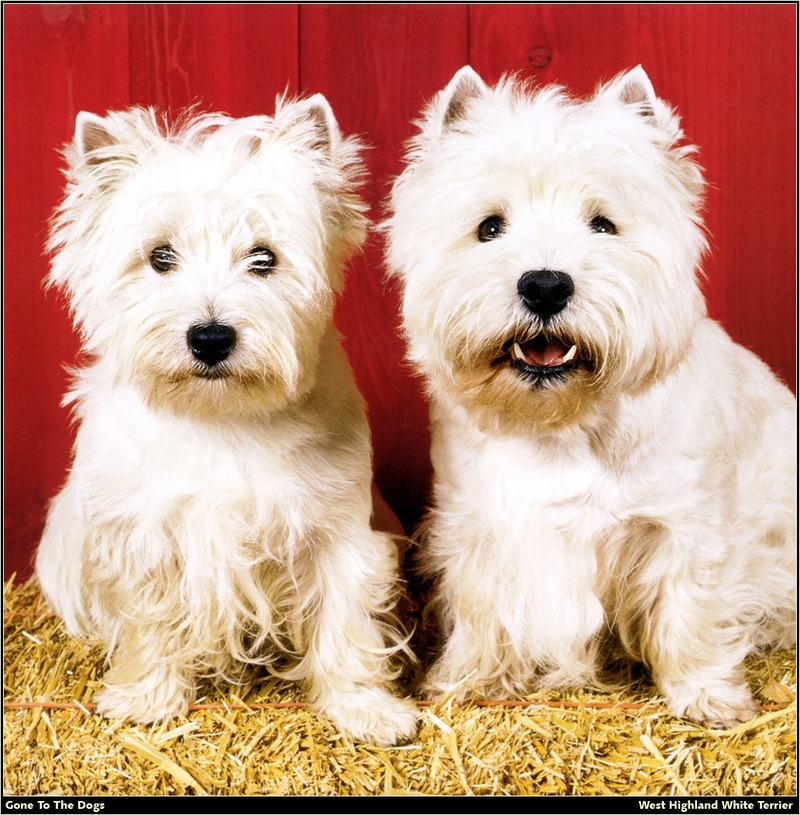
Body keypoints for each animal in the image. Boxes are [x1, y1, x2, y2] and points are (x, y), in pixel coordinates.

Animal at [37, 97, 422, 744]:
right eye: (159, 257)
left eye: (264, 258)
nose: (210, 338)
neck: (221, 416)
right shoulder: (146, 537)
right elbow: (153, 621)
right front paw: (147, 698)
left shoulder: (339, 532)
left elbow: (347, 622)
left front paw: (365, 707)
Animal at [386, 63, 792, 728]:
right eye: (489, 227)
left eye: (603, 224)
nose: (545, 285)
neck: (561, 422)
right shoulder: (476, 523)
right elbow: (480, 606)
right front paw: (469, 678)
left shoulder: (687, 525)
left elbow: (690, 610)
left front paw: (707, 694)